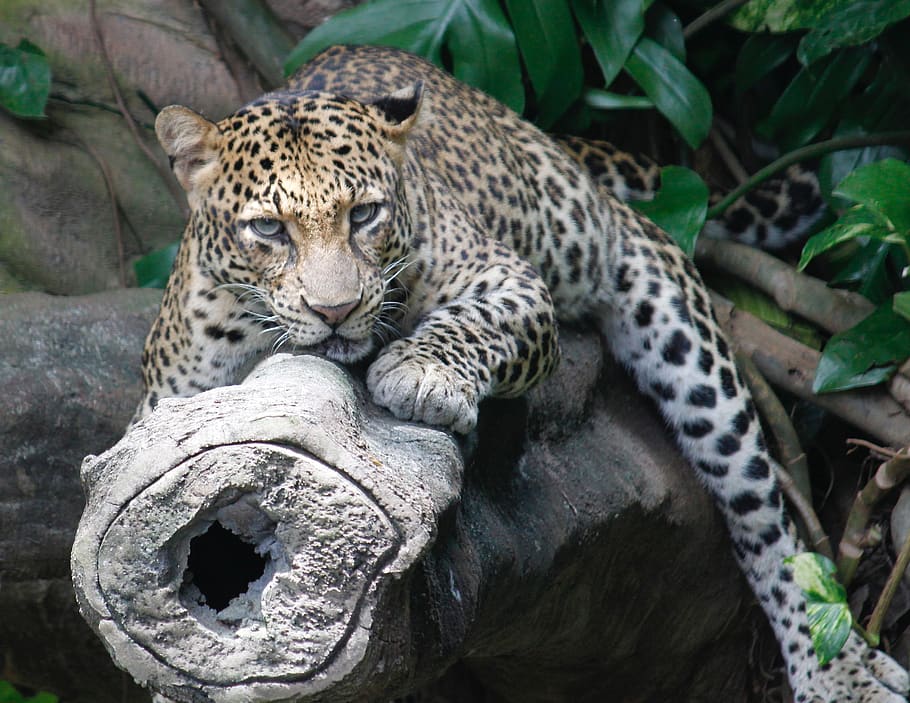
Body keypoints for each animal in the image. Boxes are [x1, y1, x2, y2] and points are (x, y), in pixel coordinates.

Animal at [135, 44, 907, 702]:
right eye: (268, 229)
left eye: (365, 215)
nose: (336, 309)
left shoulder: (509, 282)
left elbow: (474, 324)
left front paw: (418, 373)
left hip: (658, 299)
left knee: (766, 521)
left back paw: (839, 671)